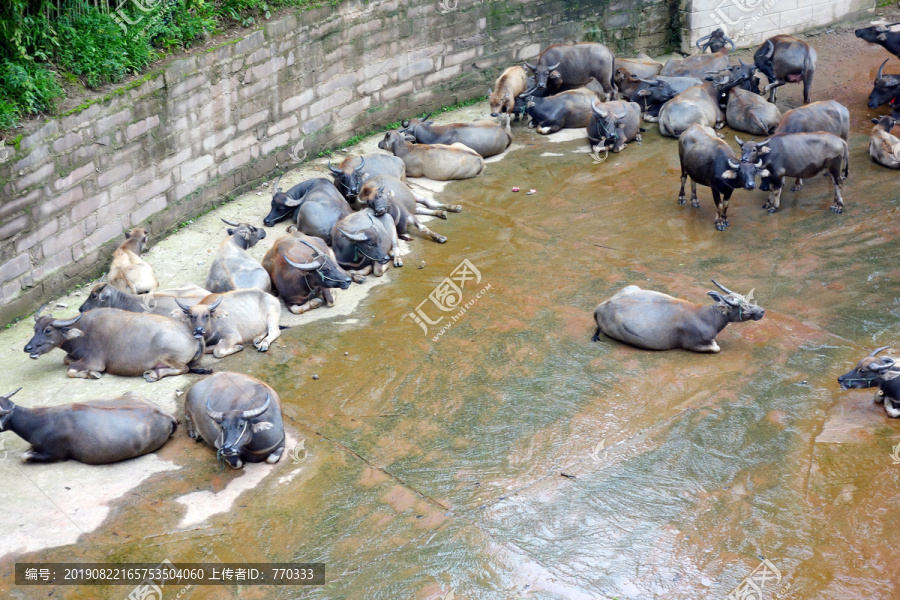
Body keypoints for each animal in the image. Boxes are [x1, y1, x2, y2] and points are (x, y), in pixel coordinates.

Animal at [24, 308, 209, 382]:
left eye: (48, 330)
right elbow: (66, 360)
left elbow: (70, 370)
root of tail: (193, 334)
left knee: (183, 368)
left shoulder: (95, 361)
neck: (82, 331)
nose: (28, 348)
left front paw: (92, 374)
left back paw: (154, 374)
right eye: (35, 328)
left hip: (171, 357)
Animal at [592, 280, 768, 352]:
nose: (761, 311)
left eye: (746, 299)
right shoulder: (693, 344)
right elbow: (716, 348)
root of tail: (600, 307)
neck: (706, 317)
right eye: (741, 306)